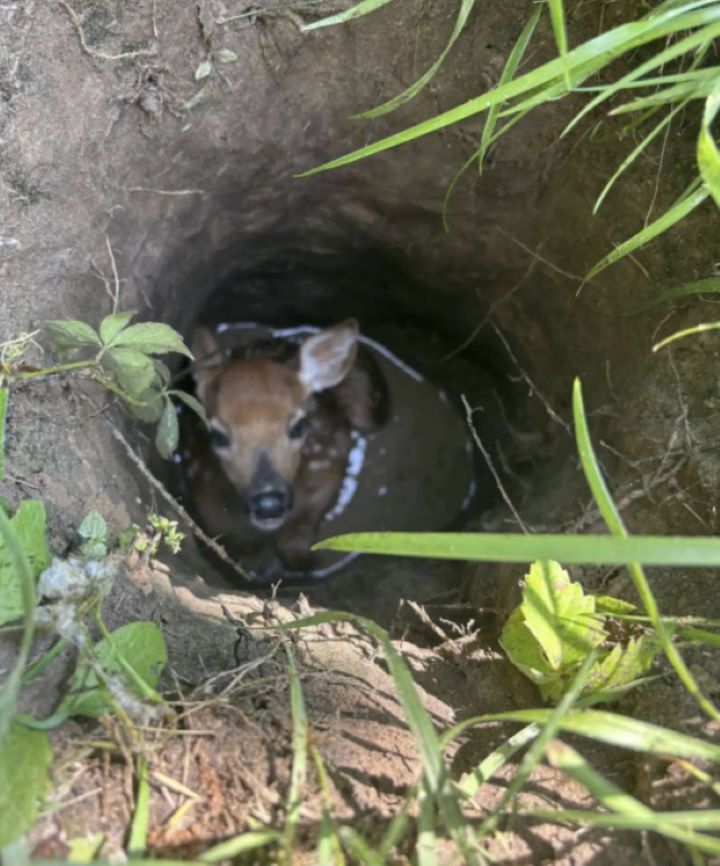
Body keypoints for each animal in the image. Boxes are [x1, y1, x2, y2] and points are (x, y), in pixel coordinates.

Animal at [185, 320, 389, 578]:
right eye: (218, 436)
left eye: (299, 426)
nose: (269, 504)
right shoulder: (204, 493)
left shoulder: (327, 473)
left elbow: (294, 541)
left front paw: (311, 563)